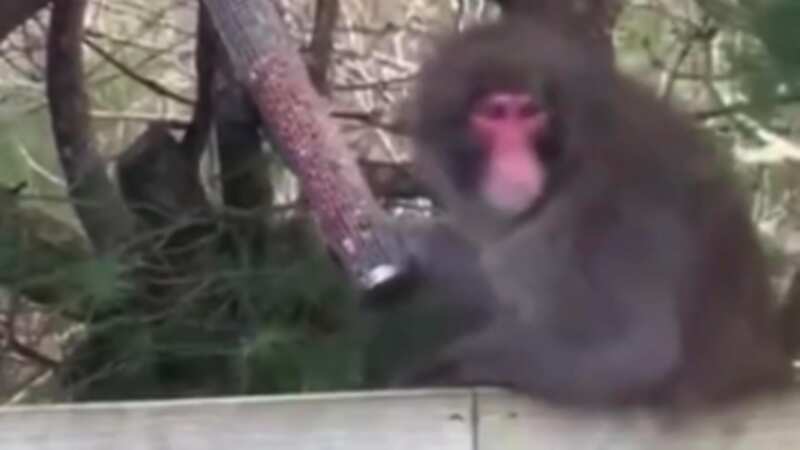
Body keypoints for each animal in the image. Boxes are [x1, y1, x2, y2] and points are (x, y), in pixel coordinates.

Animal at [362, 17, 792, 409]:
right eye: (493, 113)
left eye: (528, 112)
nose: (514, 156)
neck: (565, 160)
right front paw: (411, 241)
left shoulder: (602, 206)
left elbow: (636, 349)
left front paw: (441, 367)